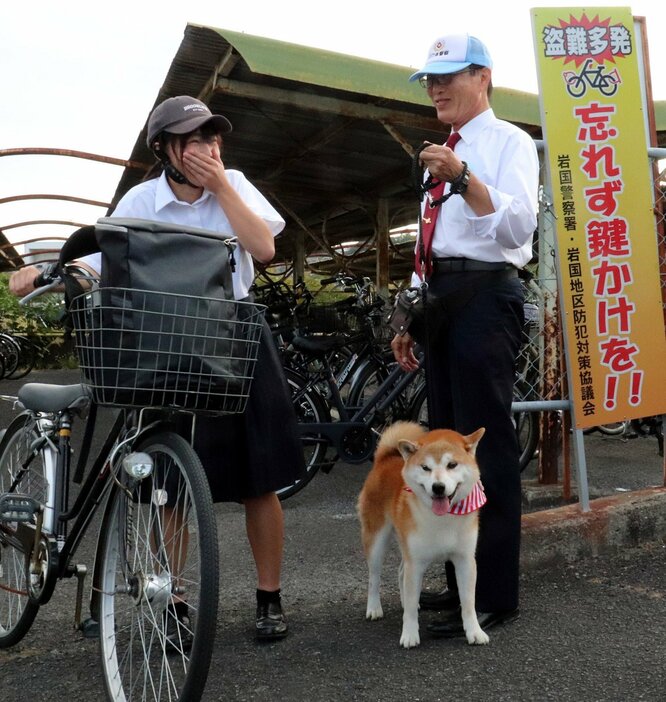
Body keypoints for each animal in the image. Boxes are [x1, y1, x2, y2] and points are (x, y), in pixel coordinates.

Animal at [358, 420, 488, 652]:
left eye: (452, 465)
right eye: (425, 468)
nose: (438, 487)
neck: (443, 518)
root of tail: (384, 459)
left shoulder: (464, 560)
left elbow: (468, 603)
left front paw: (474, 632)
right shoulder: (416, 561)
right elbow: (409, 610)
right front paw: (409, 634)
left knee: (401, 571)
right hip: (376, 540)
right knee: (374, 577)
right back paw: (374, 608)